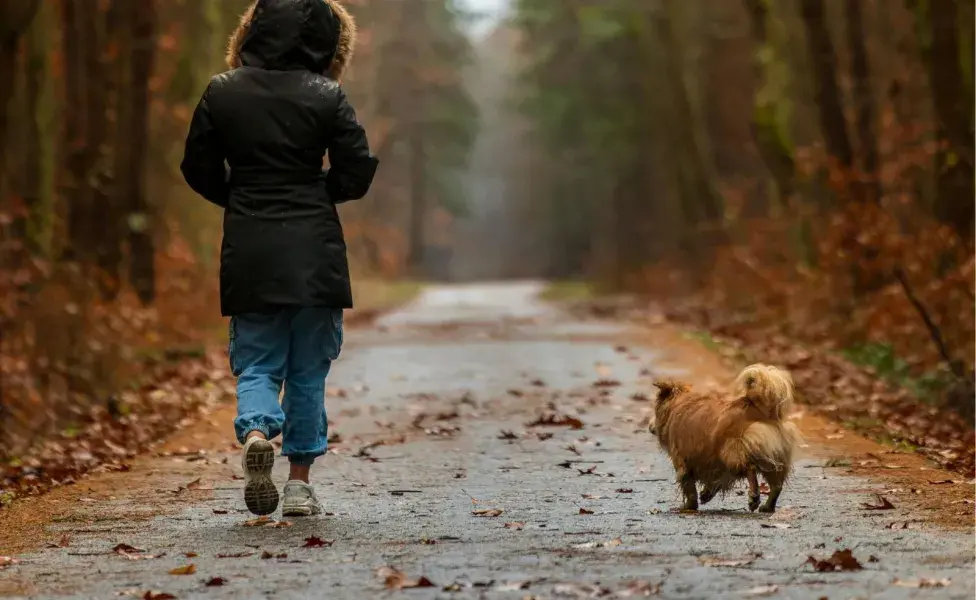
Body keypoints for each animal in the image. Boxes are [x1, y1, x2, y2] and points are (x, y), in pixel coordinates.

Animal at [652, 364, 796, 512]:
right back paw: (767, 506)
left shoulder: (682, 462)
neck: (678, 405)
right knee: (777, 485)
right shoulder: (712, 462)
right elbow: (716, 480)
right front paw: (706, 494)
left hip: (732, 453)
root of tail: (758, 407)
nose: (650, 426)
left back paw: (754, 497)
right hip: (775, 456)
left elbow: (689, 487)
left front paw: (689, 506)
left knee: (750, 469)